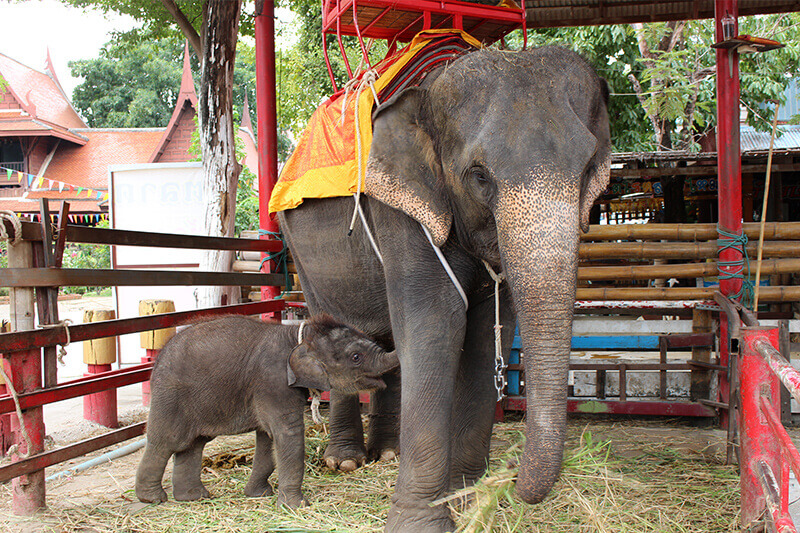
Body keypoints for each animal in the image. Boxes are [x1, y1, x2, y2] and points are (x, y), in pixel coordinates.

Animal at [139, 314, 400, 504]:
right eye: (356, 357)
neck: (298, 336)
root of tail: (157, 361)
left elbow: (267, 439)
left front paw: (260, 494)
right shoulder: (273, 382)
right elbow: (287, 434)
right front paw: (296, 506)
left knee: (193, 444)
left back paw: (194, 497)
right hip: (170, 397)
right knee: (166, 442)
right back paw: (153, 499)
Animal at [278, 46, 608, 532]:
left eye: (587, 170)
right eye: (480, 176)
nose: (511, 477)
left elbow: (485, 333)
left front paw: (467, 500)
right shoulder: (400, 210)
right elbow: (435, 324)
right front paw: (422, 522)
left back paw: (388, 453)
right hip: (300, 252)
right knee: (333, 321)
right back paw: (346, 462)